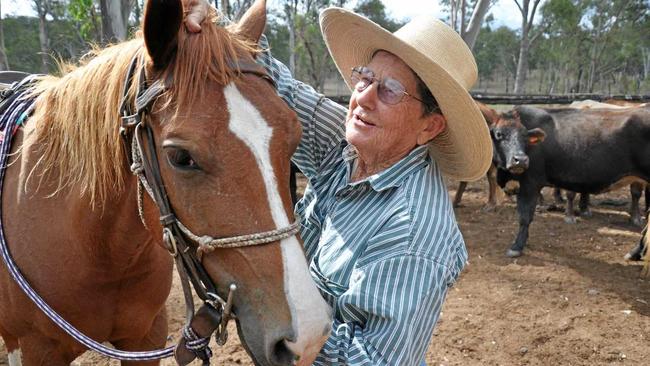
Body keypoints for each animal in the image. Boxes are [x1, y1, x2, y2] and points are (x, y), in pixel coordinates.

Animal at [0, 0, 330, 366]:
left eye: (295, 136)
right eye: (180, 157)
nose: (307, 337)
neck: (97, 249)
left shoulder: (145, 338)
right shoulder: (34, 347)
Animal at [492, 104, 648, 256]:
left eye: (525, 135)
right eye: (499, 134)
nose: (521, 160)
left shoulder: (530, 183)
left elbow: (525, 216)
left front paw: (517, 246)